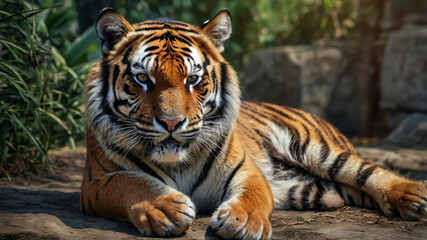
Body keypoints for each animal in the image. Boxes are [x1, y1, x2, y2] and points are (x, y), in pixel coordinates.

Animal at [81, 7, 427, 240]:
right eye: (142, 79)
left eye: (193, 80)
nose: (171, 122)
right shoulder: (96, 182)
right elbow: (129, 182)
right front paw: (164, 208)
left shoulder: (246, 169)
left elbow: (253, 195)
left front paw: (243, 221)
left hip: (316, 149)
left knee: (367, 170)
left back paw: (413, 197)